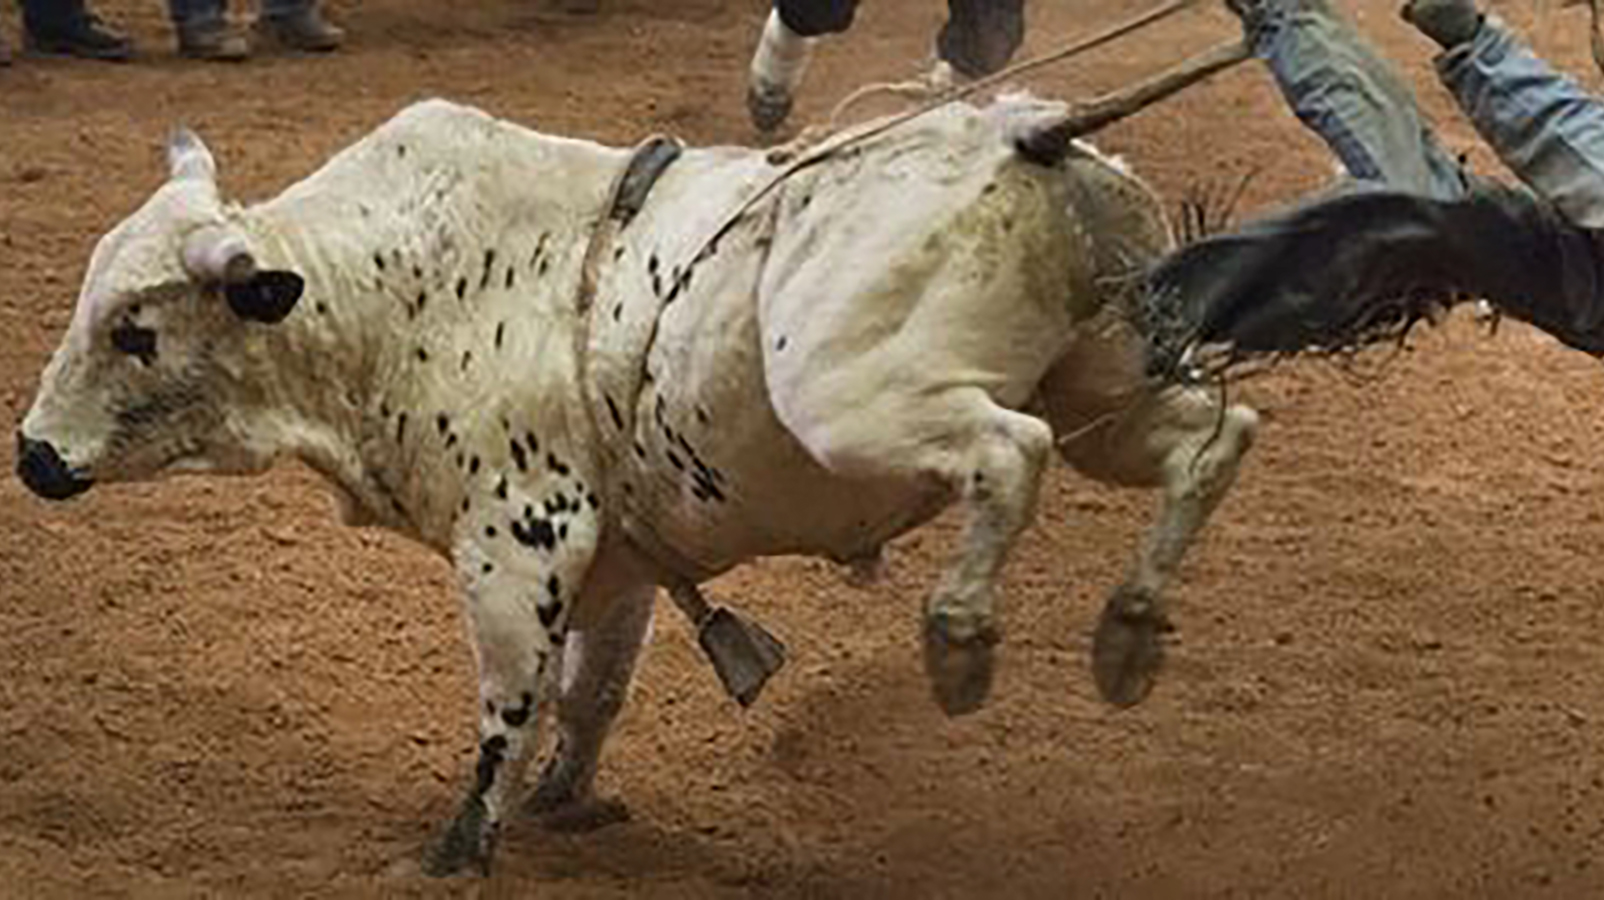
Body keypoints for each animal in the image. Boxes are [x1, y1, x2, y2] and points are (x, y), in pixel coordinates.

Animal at [14, 94, 1257, 875]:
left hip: (863, 399)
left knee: (1009, 453)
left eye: (134, 332)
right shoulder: (616, 561)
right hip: (1109, 391)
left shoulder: (514, 543)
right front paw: (567, 802)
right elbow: (590, 693)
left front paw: (459, 845)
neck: (394, 289)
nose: (31, 454)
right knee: (1214, 437)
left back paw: (960, 637)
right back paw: (1129, 628)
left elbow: (510, 707)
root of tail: (1027, 137)